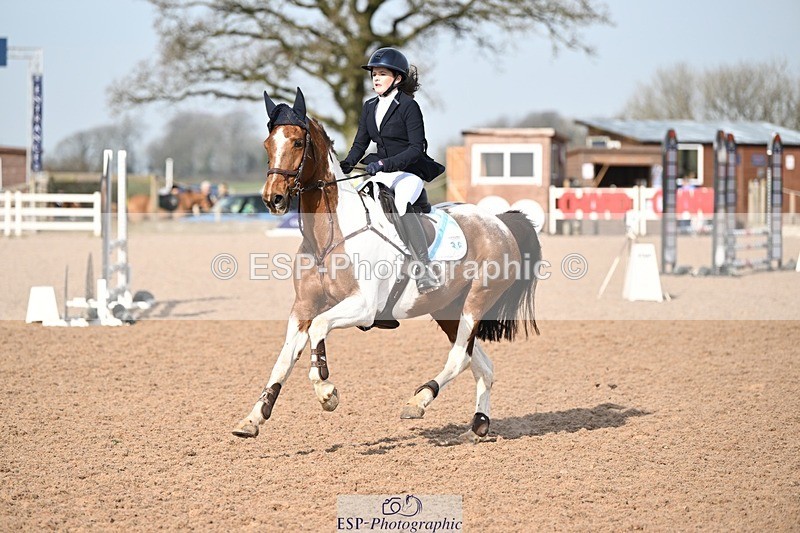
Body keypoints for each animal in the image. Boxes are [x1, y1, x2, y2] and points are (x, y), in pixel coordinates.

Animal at [232, 88, 541, 444]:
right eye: (267, 144)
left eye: (297, 142)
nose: (273, 199)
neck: (329, 237)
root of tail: (499, 222)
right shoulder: (302, 308)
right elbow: (283, 360)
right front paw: (253, 418)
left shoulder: (363, 307)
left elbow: (320, 328)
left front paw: (326, 390)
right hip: (448, 309)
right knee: (481, 364)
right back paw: (478, 423)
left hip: (476, 301)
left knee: (459, 358)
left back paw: (418, 401)